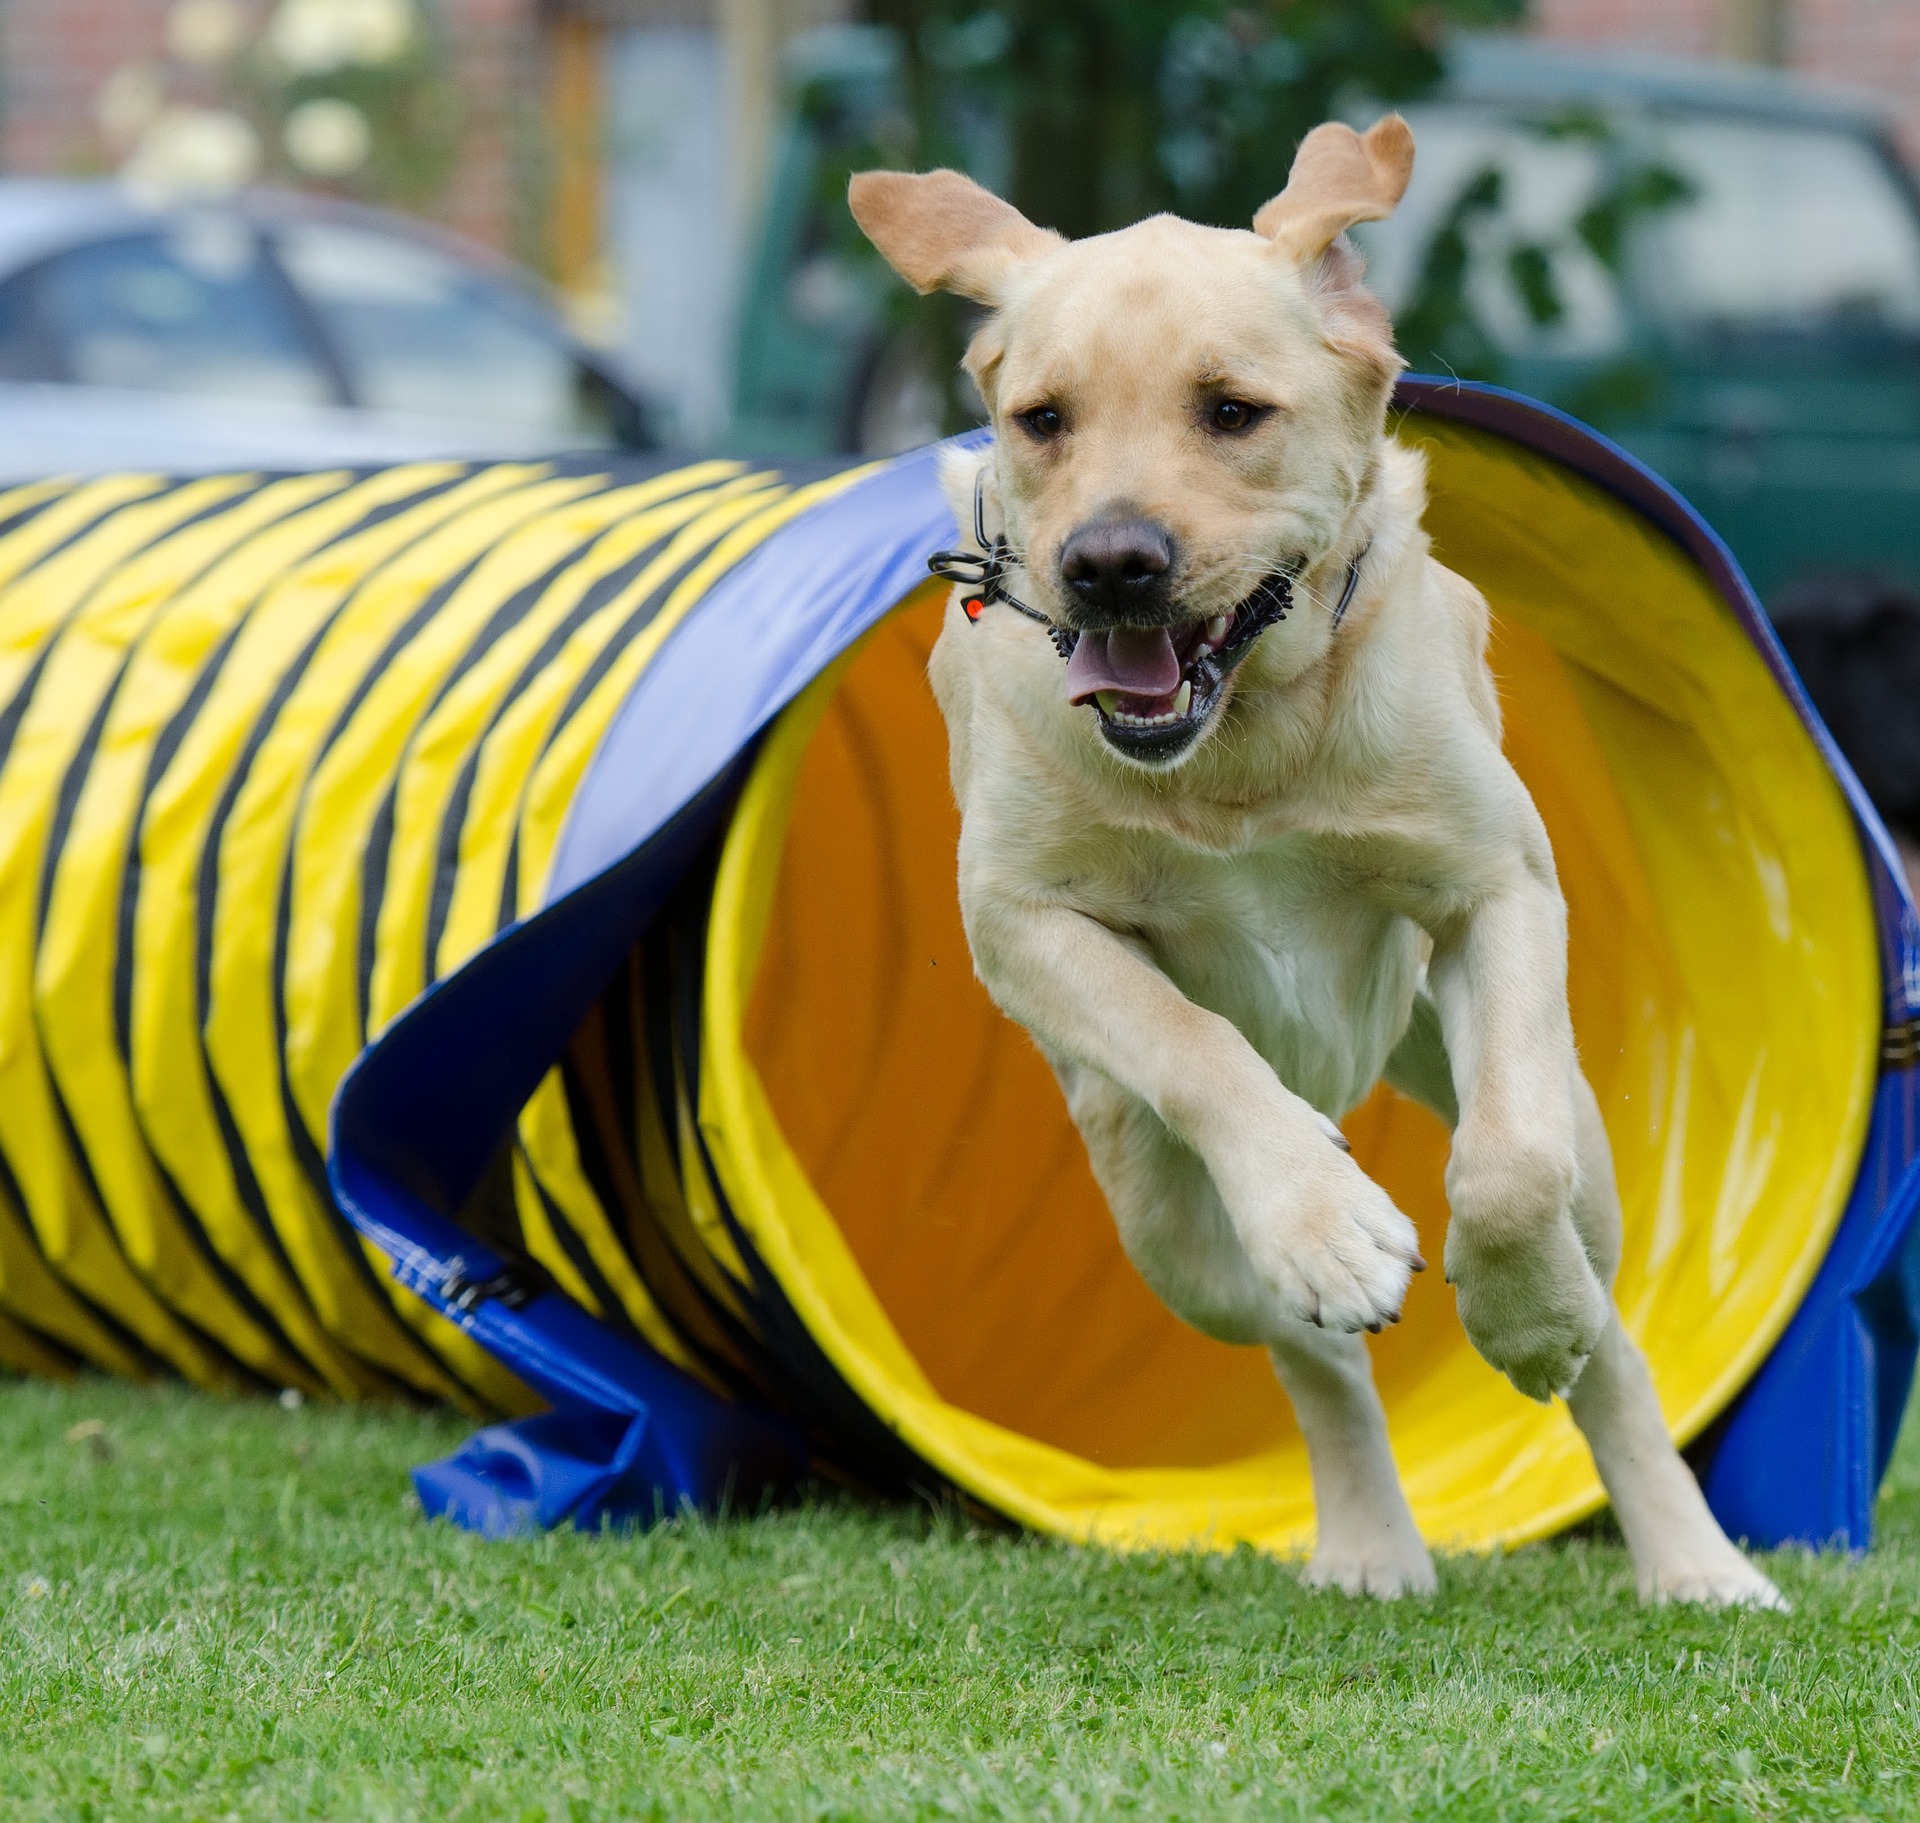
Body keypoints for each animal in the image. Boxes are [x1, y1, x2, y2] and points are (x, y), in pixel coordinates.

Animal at [856, 113, 1781, 1598]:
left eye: (1233, 411)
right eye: (1042, 419)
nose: (1109, 562)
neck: (1239, 743)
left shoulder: (1495, 889)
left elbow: (1507, 1174)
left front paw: (1523, 1319)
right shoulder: (1024, 921)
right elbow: (1194, 1040)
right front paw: (1330, 1224)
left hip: (1566, 1130)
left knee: (1613, 1338)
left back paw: (1689, 1553)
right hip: (1160, 1217)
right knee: (1312, 1357)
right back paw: (1367, 1535)